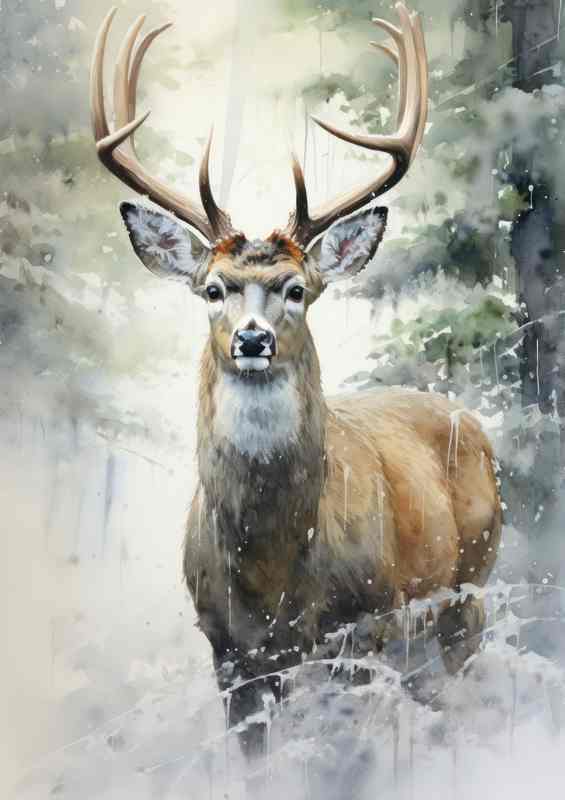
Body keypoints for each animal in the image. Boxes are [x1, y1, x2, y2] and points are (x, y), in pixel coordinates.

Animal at [91, 3, 502, 761]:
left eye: (296, 289)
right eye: (213, 289)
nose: (252, 340)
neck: (273, 573)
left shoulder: (360, 626)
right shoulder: (228, 651)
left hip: (469, 589)